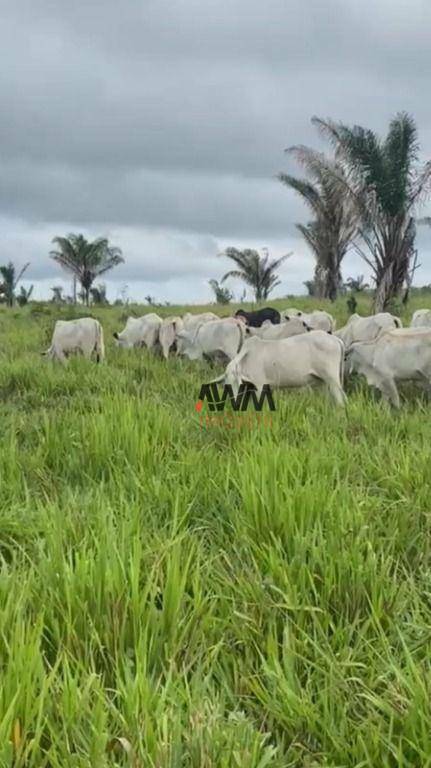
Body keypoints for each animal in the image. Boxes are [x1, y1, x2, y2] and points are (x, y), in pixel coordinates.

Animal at [216, 328, 348, 404]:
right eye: (226, 384)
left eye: (236, 382)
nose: (234, 402)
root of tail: (335, 339)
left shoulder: (259, 385)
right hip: (324, 382)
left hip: (332, 380)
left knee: (340, 400)